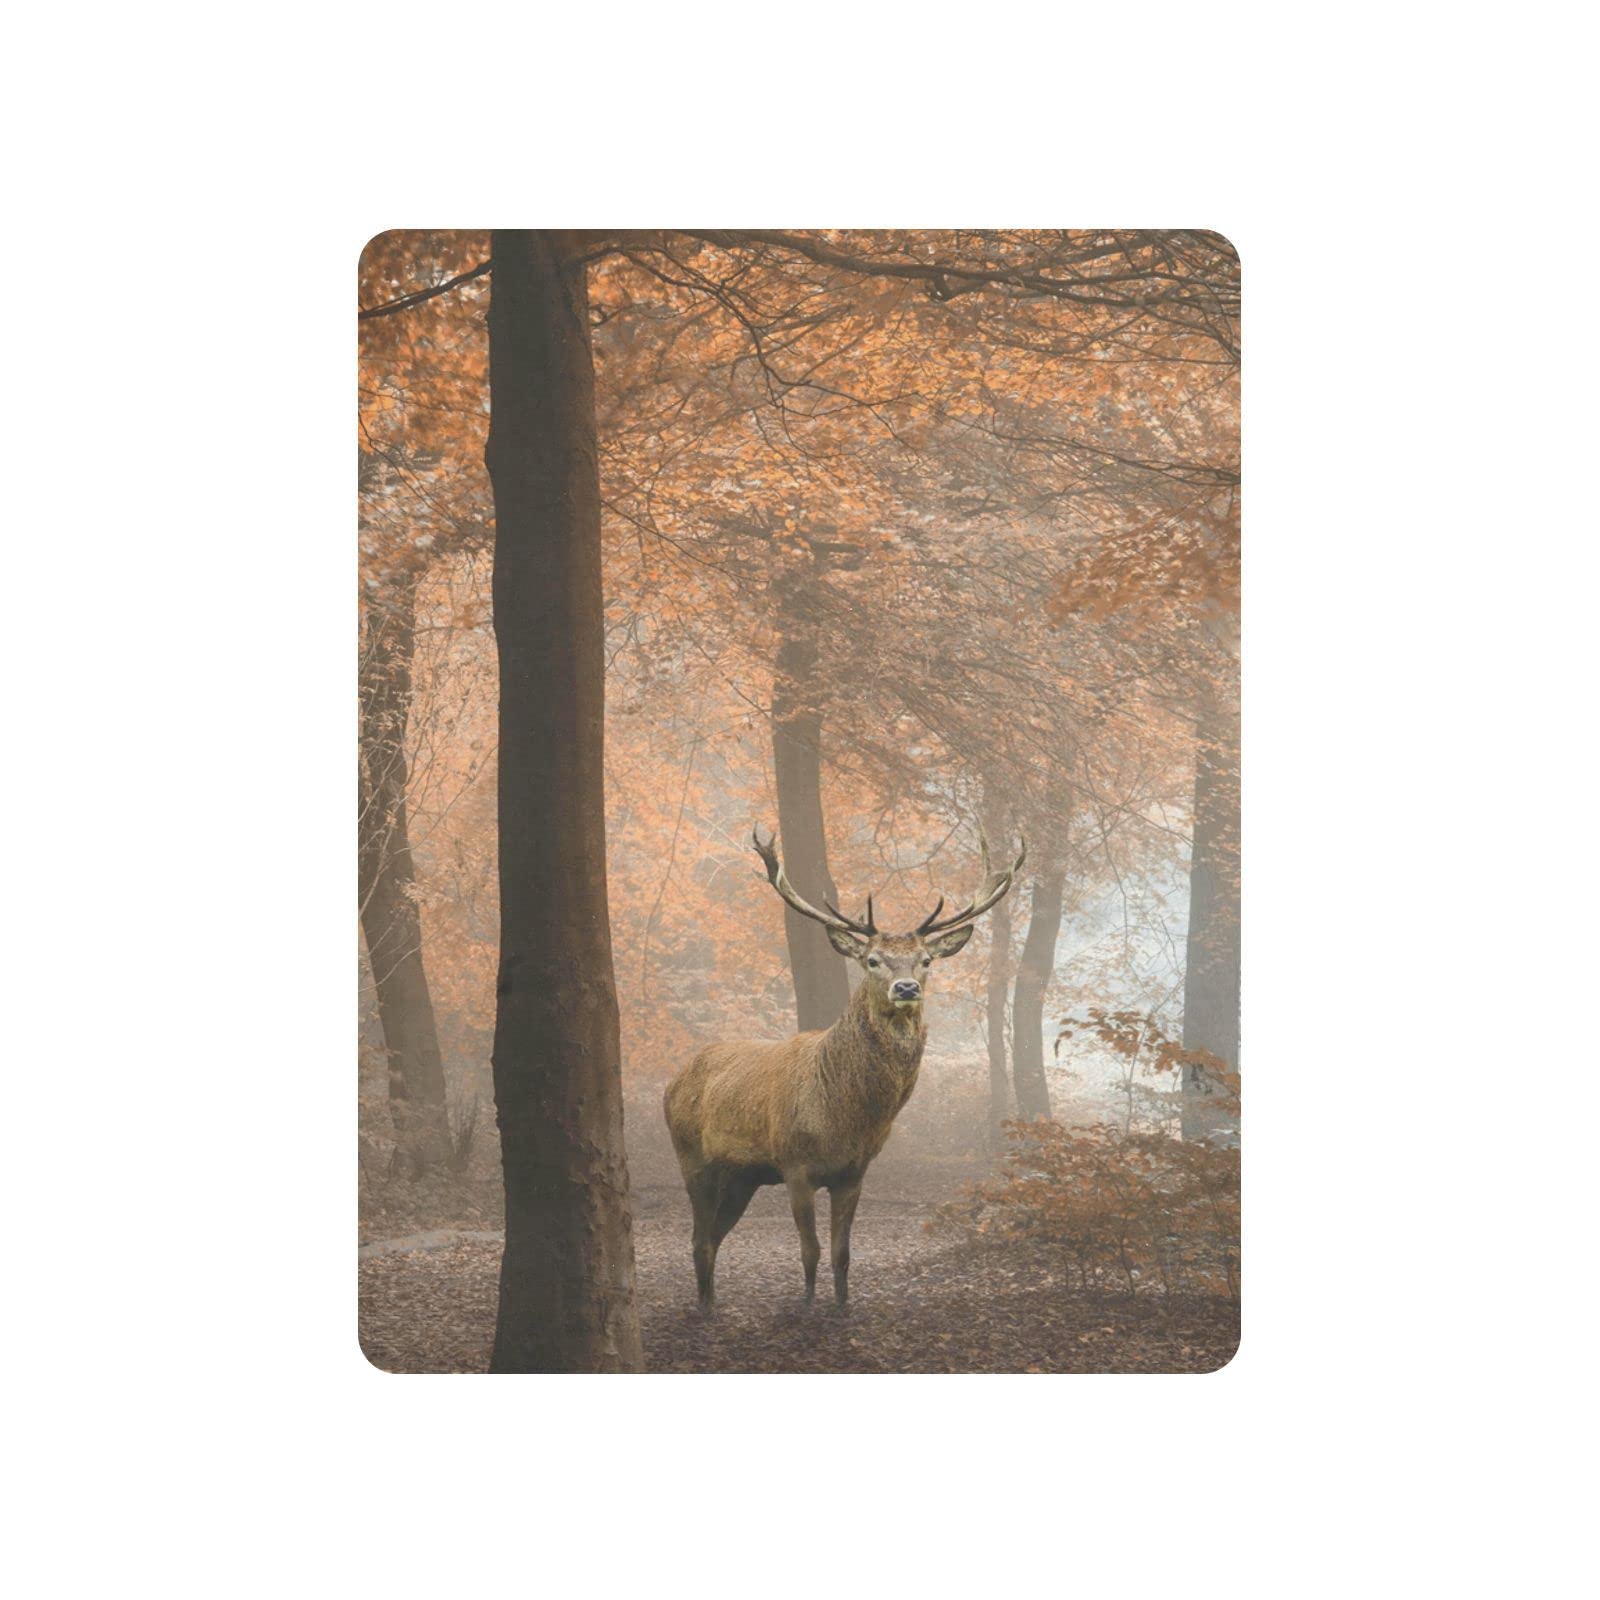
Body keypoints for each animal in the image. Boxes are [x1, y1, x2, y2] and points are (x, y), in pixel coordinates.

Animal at [663, 825, 1024, 1310]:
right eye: (872, 960)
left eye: (926, 961)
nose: (906, 987)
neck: (843, 1117)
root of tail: (673, 1079)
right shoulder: (795, 1164)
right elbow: (810, 1250)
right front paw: (807, 1305)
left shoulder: (854, 1172)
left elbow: (842, 1253)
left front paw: (842, 1306)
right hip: (691, 1157)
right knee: (699, 1238)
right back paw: (704, 1308)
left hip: (742, 1176)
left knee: (715, 1237)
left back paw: (711, 1301)